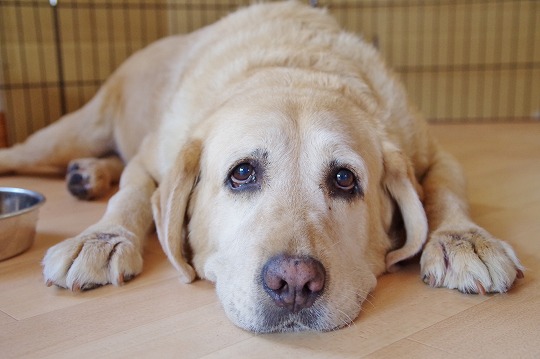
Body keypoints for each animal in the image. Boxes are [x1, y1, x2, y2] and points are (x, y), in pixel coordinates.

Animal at [0, 2, 524, 334]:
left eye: (344, 179)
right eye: (242, 173)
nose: (294, 283)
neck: (293, 66)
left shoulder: (433, 152)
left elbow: (444, 189)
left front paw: (463, 239)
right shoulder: (152, 159)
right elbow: (131, 195)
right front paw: (101, 238)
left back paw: (87, 173)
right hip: (74, 130)